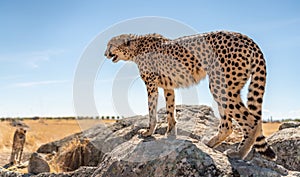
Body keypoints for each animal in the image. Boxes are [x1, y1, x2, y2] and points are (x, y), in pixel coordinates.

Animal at [105, 31, 276, 160]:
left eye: (110, 45)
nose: (105, 53)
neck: (136, 46)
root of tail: (246, 38)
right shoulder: (168, 86)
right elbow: (170, 110)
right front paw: (170, 134)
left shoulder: (151, 85)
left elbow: (151, 110)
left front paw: (148, 132)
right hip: (225, 87)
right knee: (229, 125)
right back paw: (210, 144)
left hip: (220, 86)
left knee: (252, 120)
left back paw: (239, 153)